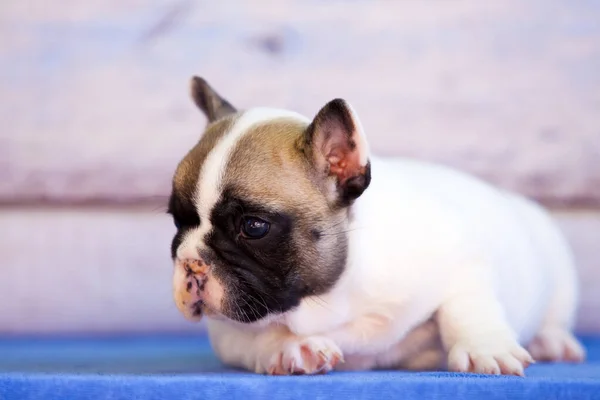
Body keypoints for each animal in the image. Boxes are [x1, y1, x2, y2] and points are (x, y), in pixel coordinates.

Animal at [170, 76, 584, 376]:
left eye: (253, 226)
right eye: (177, 221)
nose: (191, 262)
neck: (332, 296)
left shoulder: (463, 260)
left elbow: (465, 306)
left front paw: (486, 348)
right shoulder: (229, 330)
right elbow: (261, 336)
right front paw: (293, 346)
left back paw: (553, 342)